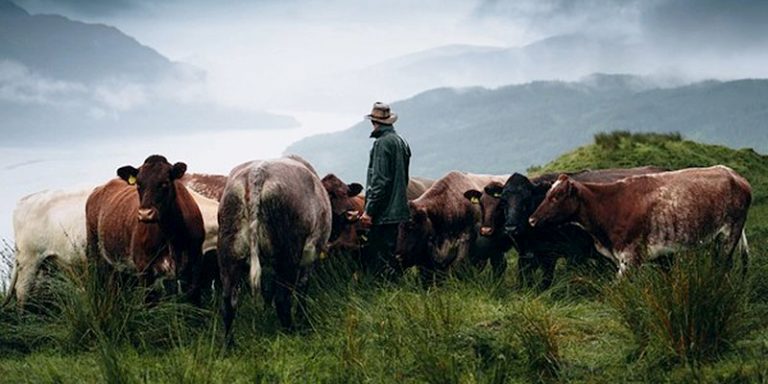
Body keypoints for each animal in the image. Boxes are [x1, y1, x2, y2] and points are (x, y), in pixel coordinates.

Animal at [85, 155, 206, 304]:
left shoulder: (195, 261)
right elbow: (148, 300)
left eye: (164, 183)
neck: (171, 234)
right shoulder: (143, 266)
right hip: (93, 245)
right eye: (138, 184)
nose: (145, 213)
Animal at [219, 154, 332, 344]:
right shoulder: (309, 258)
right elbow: (302, 289)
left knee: (228, 302)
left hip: (230, 252)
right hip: (288, 253)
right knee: (283, 298)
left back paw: (229, 345)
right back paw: (292, 333)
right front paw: (303, 320)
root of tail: (256, 173)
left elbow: (268, 292)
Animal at [464, 166, 668, 290]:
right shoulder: (527, 255)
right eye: (504, 201)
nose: (512, 228)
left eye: (526, 200)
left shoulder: (562, 254)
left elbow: (549, 281)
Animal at [528, 165, 752, 276]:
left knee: (724, 265)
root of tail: (732, 173)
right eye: (546, 194)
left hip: (730, 233)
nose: (532, 219)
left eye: (556, 197)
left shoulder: (631, 256)